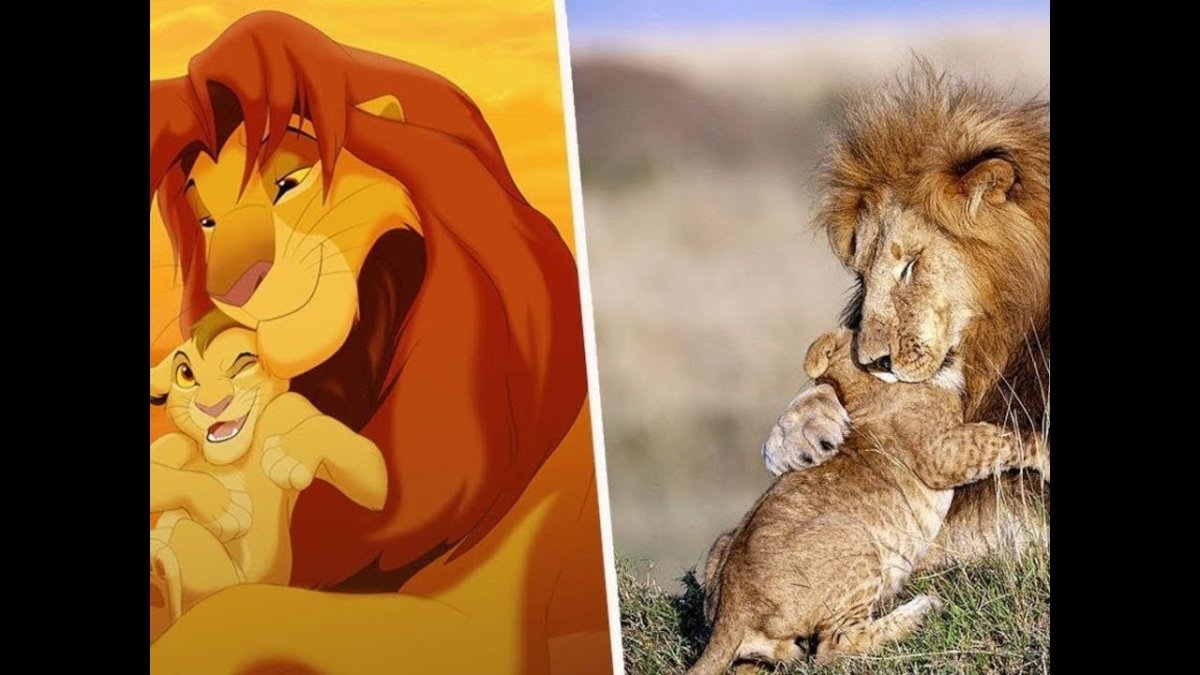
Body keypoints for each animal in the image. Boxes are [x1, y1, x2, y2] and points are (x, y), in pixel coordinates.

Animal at [148, 310, 387, 643]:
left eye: (244, 365)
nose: (212, 406)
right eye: (185, 374)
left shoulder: (292, 407)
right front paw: (222, 504)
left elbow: (369, 466)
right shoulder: (178, 443)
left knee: (185, 536)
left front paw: (290, 453)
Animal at [691, 329, 1048, 674]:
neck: (864, 388)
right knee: (835, 648)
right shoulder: (942, 454)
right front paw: (1047, 457)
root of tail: (733, 611)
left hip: (724, 551)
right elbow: (1011, 438)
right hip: (854, 540)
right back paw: (921, 610)